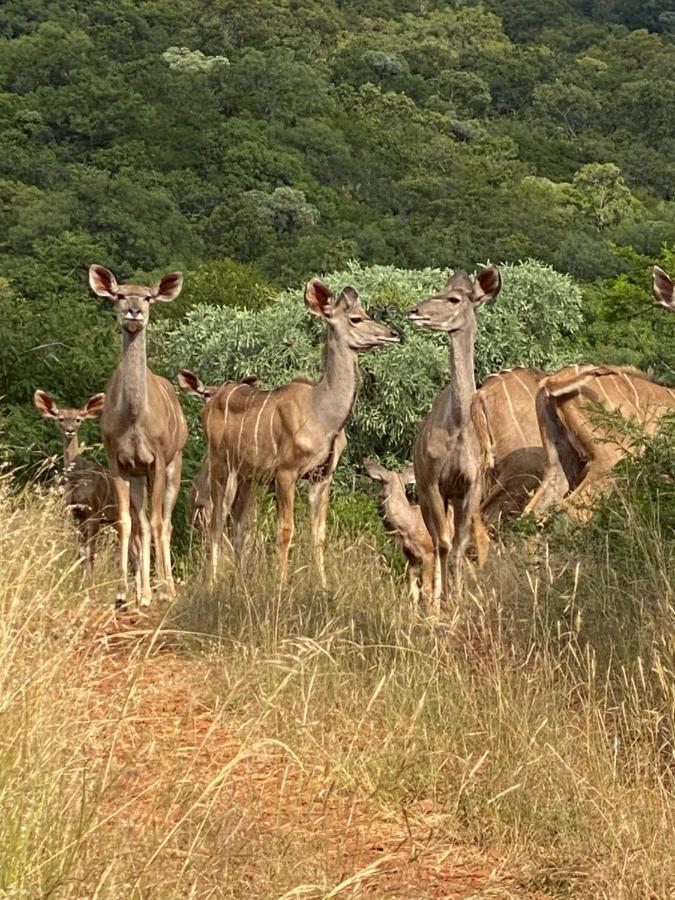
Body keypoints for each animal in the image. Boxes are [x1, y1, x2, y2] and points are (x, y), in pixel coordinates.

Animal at [88, 264, 187, 608]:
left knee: (165, 522)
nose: (134, 311)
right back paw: (143, 592)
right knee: (142, 521)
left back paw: (165, 589)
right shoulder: (119, 462)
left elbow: (157, 521)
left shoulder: (157, 458)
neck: (134, 420)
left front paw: (163, 590)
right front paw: (123, 592)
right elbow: (126, 521)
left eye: (148, 297)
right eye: (119, 295)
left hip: (174, 465)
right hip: (138, 475)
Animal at [203, 284, 398, 592]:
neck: (322, 414)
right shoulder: (285, 474)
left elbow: (318, 534)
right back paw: (212, 583)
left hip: (248, 477)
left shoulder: (322, 476)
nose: (392, 333)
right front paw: (281, 585)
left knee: (237, 522)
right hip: (222, 466)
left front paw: (323, 586)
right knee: (216, 521)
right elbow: (286, 529)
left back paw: (241, 581)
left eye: (366, 312)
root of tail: (210, 404)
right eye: (355, 318)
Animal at [362, 458, 436, 612]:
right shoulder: (410, 555)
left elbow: (426, 590)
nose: (378, 497)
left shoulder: (428, 552)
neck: (410, 523)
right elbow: (413, 591)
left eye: (381, 484)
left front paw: (431, 616)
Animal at [406, 264, 502, 608]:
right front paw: (441, 602)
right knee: (436, 541)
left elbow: (460, 543)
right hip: (425, 494)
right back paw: (431, 597)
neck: (459, 426)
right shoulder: (434, 483)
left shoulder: (470, 486)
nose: (414, 311)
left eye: (454, 298)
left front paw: (458, 600)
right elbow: (445, 543)